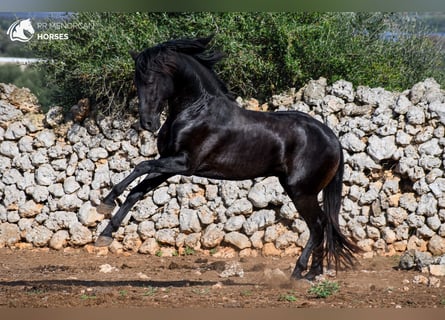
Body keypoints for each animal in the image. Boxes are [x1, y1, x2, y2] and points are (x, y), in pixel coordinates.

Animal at [95, 35, 360, 280]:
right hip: (304, 190)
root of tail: (331, 137)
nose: (148, 123)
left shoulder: (184, 163)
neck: (197, 110)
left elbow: (140, 166)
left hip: (301, 192)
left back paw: (298, 272)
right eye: (136, 80)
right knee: (323, 224)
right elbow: (137, 191)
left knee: (317, 226)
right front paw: (105, 234)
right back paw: (313, 273)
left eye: (151, 79)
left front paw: (105, 202)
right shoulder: (170, 164)